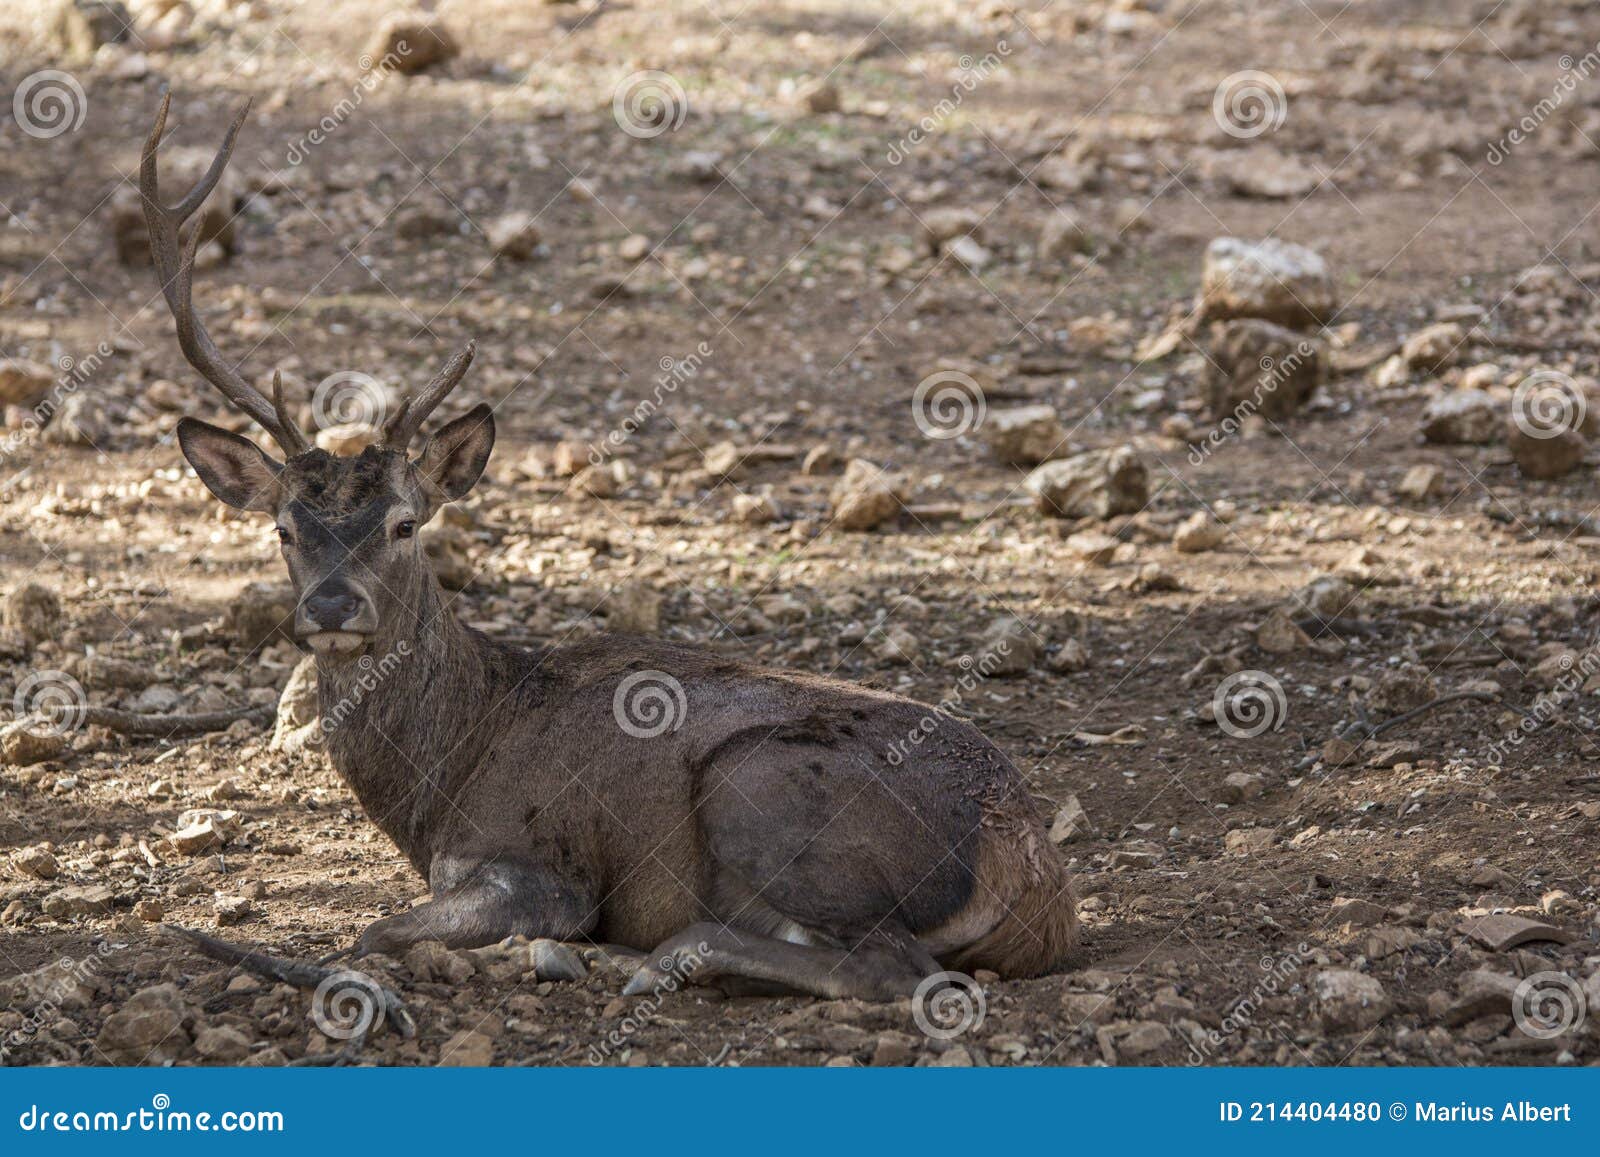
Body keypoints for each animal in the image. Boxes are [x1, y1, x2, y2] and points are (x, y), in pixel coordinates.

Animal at [140, 93, 1077, 1001]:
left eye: (406, 524)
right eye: (283, 528)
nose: (332, 606)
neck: (442, 779)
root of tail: (1036, 881)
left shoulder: (544, 867)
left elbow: (379, 930)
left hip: (761, 787)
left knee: (888, 966)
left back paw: (655, 958)